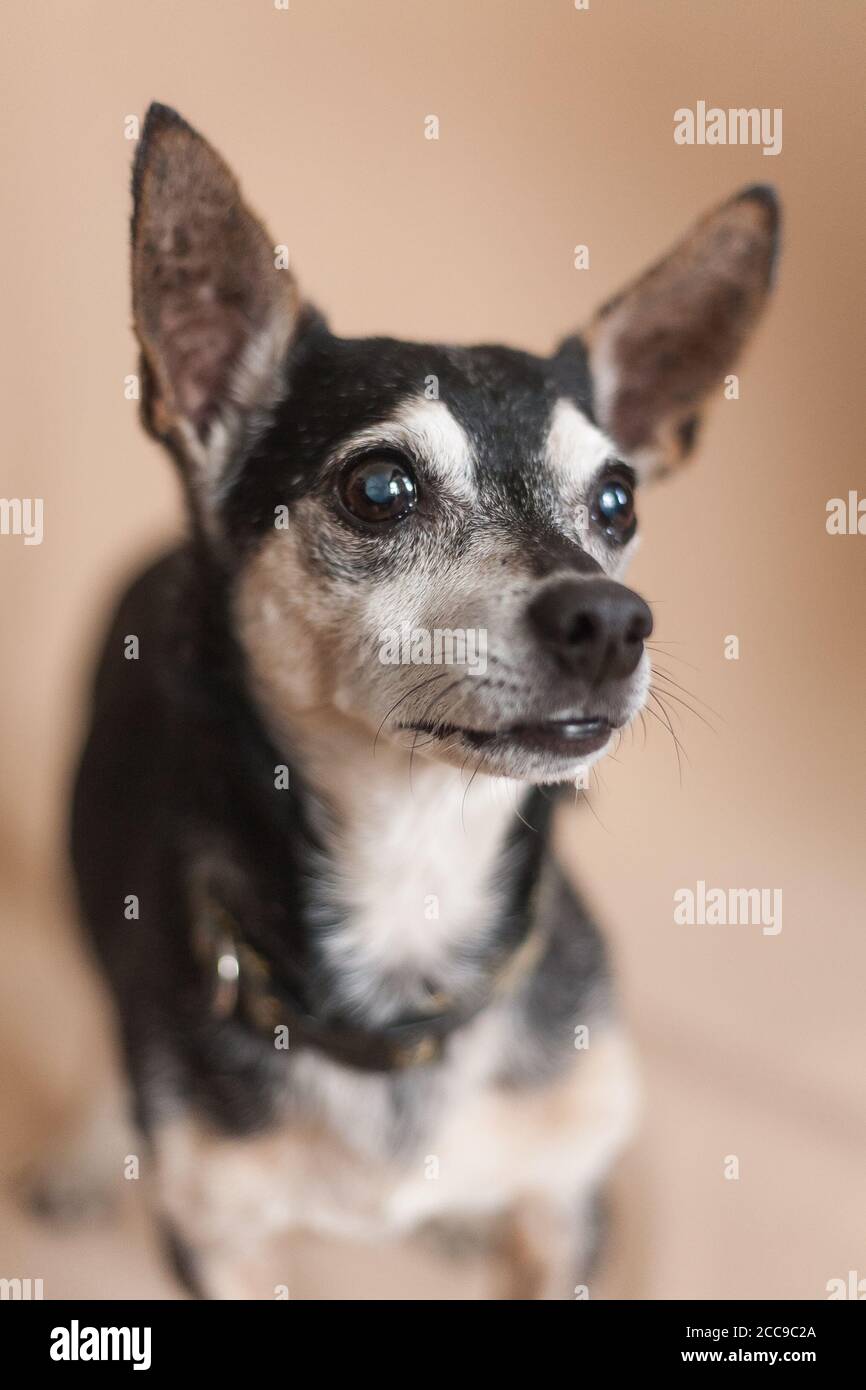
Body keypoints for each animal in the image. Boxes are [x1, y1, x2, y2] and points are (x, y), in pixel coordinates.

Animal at [64, 102, 778, 1295]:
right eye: (379, 488)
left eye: (617, 500)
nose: (610, 619)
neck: (415, 875)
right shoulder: (221, 1242)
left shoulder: (567, 1204)